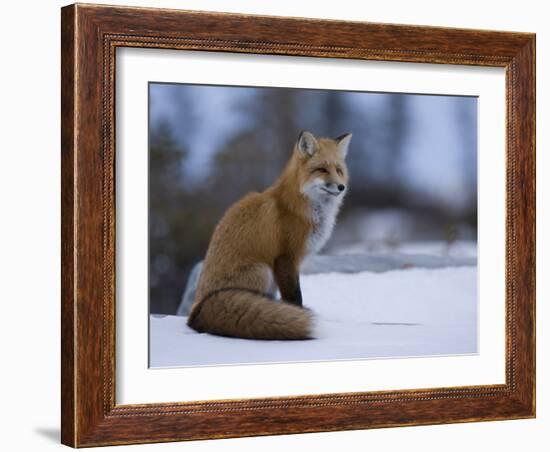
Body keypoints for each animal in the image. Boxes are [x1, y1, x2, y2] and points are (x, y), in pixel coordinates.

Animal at [189, 131, 354, 340]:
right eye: (322, 169)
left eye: (338, 170)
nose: (341, 187)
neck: (300, 207)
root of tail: (195, 312)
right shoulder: (286, 257)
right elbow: (294, 296)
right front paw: (297, 315)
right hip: (263, 271)